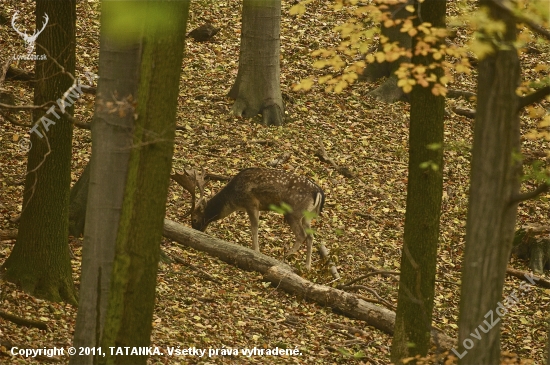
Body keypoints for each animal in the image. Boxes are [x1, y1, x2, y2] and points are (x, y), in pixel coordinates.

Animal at [172, 169, 326, 268]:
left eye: (194, 219)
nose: (196, 232)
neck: (233, 200)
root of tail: (318, 192)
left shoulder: (251, 202)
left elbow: (254, 227)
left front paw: (256, 251)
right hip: (307, 216)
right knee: (311, 236)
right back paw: (307, 266)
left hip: (293, 212)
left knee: (302, 234)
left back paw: (285, 257)